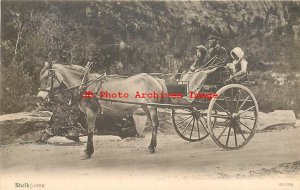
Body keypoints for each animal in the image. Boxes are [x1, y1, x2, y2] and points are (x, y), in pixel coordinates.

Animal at [37, 62, 166, 159]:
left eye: (47, 77)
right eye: (41, 76)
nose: (40, 97)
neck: (85, 85)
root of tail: (155, 78)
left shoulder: (91, 112)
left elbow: (90, 131)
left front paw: (88, 152)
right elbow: (89, 130)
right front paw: (87, 151)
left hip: (152, 107)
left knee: (155, 123)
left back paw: (152, 147)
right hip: (145, 107)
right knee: (153, 124)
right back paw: (151, 146)